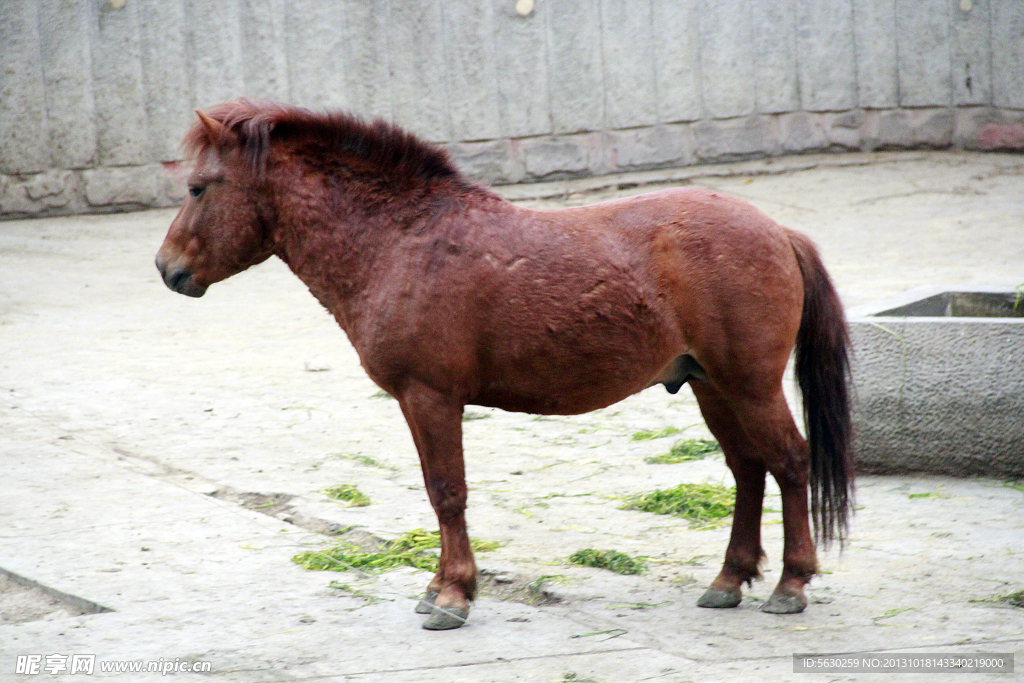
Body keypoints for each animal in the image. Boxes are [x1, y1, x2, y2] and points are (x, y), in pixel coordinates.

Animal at [155, 100, 851, 630]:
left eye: (197, 188)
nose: (167, 269)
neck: (401, 240)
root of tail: (777, 231)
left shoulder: (430, 396)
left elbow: (447, 493)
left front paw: (452, 596)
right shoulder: (419, 402)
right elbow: (439, 493)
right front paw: (440, 589)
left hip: (750, 385)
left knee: (789, 462)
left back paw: (791, 585)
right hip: (712, 386)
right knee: (748, 470)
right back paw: (729, 579)